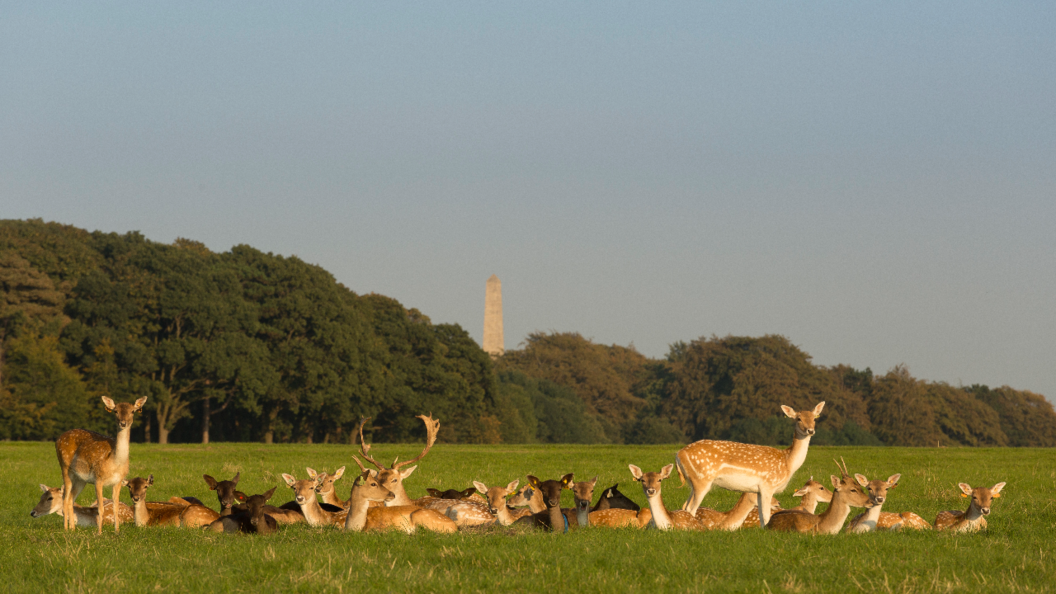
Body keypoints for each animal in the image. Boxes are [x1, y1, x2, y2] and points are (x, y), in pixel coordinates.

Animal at [55, 395, 147, 533]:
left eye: (132, 411)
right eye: (115, 411)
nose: (123, 423)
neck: (115, 462)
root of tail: (58, 439)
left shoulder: (119, 481)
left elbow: (115, 507)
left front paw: (117, 531)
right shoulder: (98, 478)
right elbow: (100, 508)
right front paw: (99, 533)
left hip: (81, 479)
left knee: (71, 499)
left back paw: (73, 529)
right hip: (65, 467)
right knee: (65, 499)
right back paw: (66, 529)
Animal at [675, 401, 825, 528]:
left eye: (814, 418)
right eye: (798, 419)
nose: (810, 430)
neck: (787, 462)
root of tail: (678, 454)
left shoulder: (758, 489)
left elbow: (762, 517)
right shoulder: (768, 485)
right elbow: (766, 515)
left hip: (693, 482)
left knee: (685, 505)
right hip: (702, 480)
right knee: (691, 508)